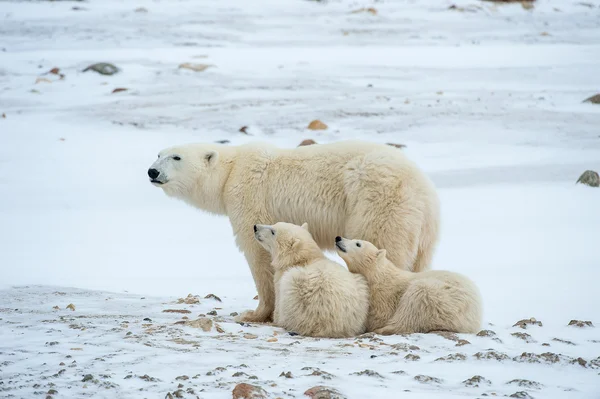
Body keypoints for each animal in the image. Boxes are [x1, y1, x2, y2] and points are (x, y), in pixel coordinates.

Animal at [149, 142, 440, 324]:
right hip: (425, 231)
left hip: (376, 202)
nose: (152, 171)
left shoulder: (249, 197)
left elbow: (259, 254)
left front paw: (255, 314)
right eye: (158, 154)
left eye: (176, 157)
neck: (230, 172)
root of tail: (422, 191)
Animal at [338, 238, 482, 334]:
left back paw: (383, 329)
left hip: (444, 299)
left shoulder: (385, 296)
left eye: (358, 243)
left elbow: (379, 316)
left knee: (414, 304)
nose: (338, 238)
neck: (379, 277)